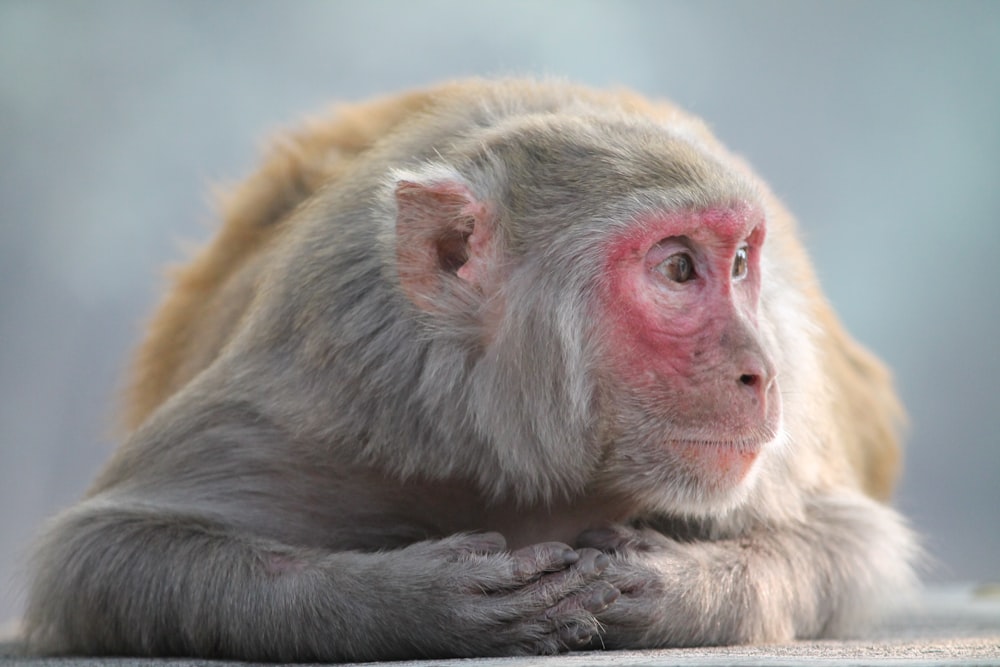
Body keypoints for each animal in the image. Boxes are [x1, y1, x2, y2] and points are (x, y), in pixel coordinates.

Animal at [21, 78, 916, 664]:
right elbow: (101, 555)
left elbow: (854, 544)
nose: (759, 372)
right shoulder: (334, 365)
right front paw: (416, 601)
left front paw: (674, 586)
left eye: (737, 263)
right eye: (678, 269)